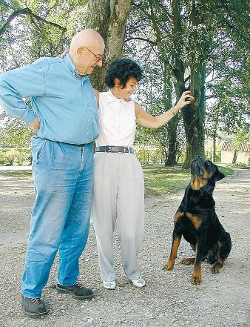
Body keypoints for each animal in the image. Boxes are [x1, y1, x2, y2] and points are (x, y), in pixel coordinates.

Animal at [163, 156, 231, 284]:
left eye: (208, 164)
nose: (197, 156)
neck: (195, 193)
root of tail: (211, 256)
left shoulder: (201, 234)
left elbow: (198, 261)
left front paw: (196, 277)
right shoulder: (177, 229)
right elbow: (173, 251)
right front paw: (169, 265)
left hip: (225, 238)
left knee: (219, 260)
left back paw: (215, 267)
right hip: (192, 242)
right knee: (203, 256)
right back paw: (189, 259)